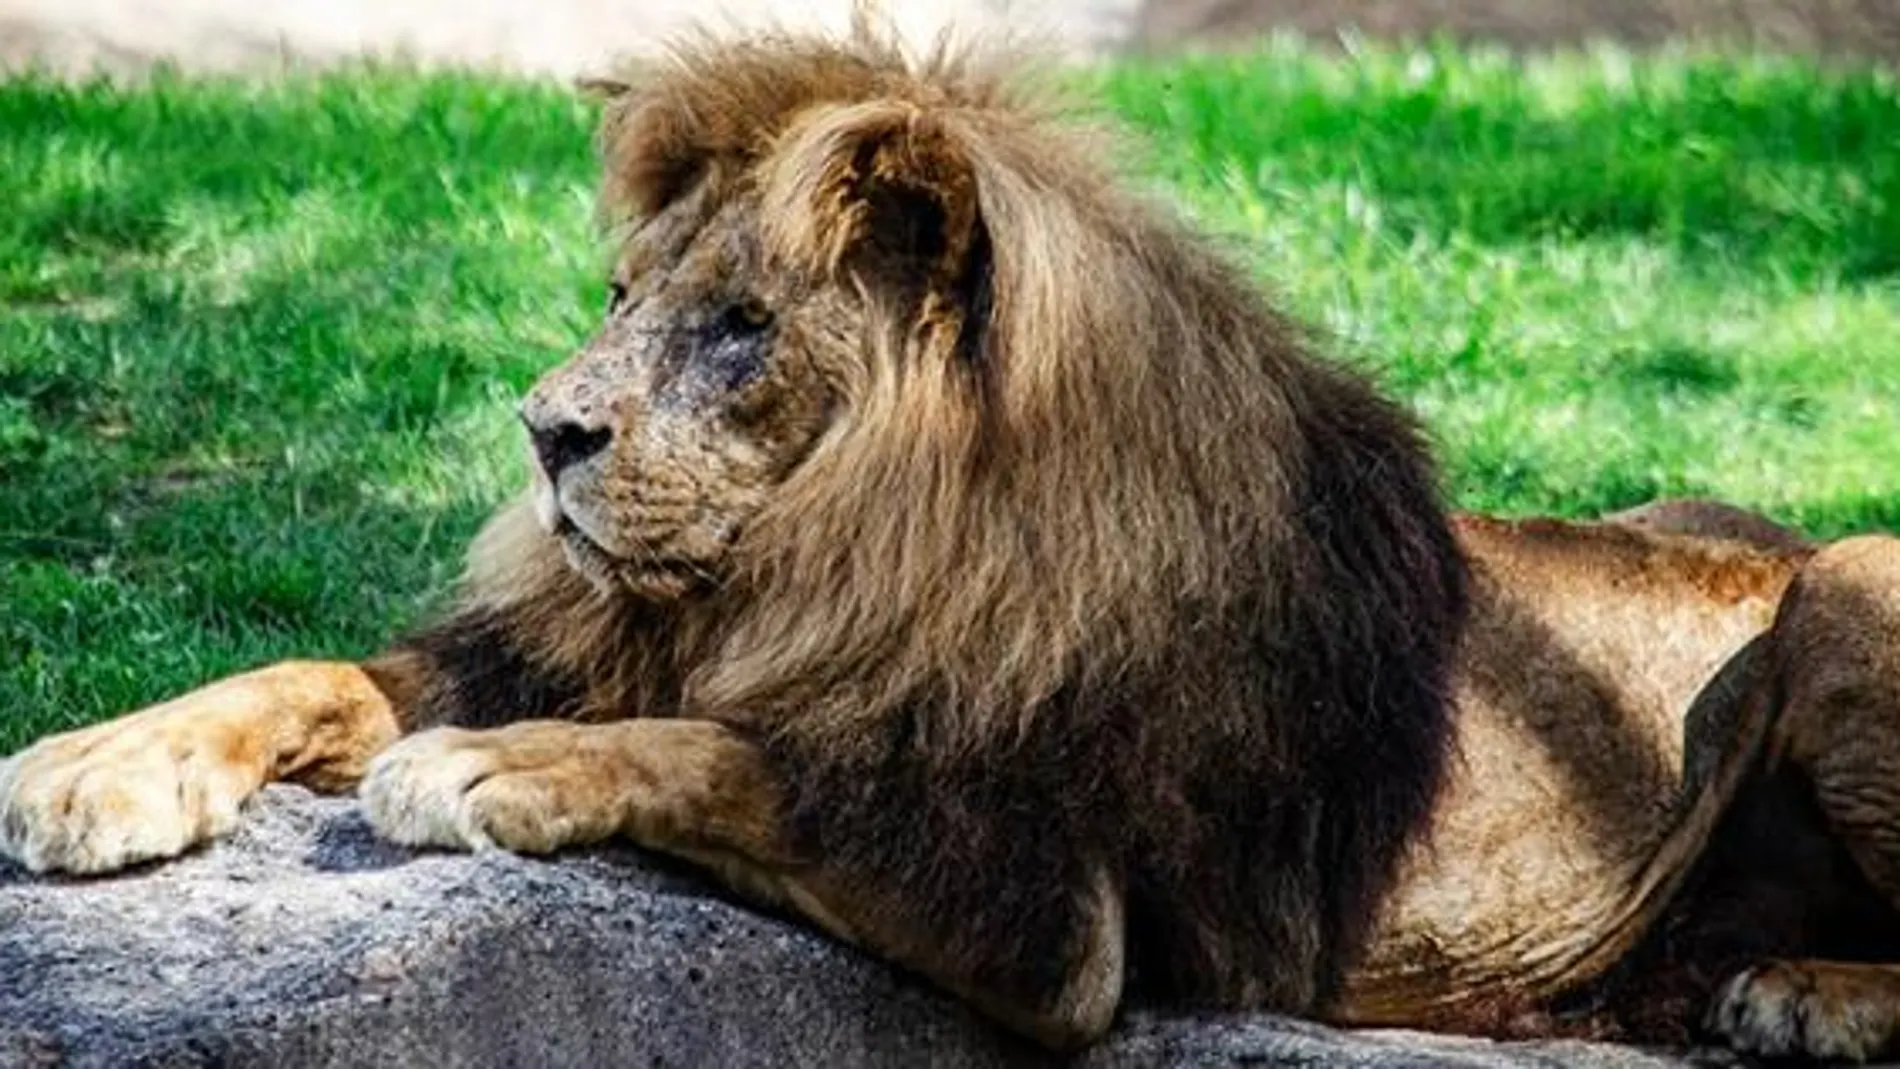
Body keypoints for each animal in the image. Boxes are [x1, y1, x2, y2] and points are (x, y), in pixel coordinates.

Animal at [3, 18, 1900, 1063]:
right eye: (620, 299)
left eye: (742, 328)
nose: (545, 432)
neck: (835, 549)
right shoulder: (600, 625)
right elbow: (312, 662)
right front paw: (92, 762)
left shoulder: (1061, 921)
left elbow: (732, 754)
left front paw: (494, 767)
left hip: (1853, 567)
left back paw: (1803, 989)